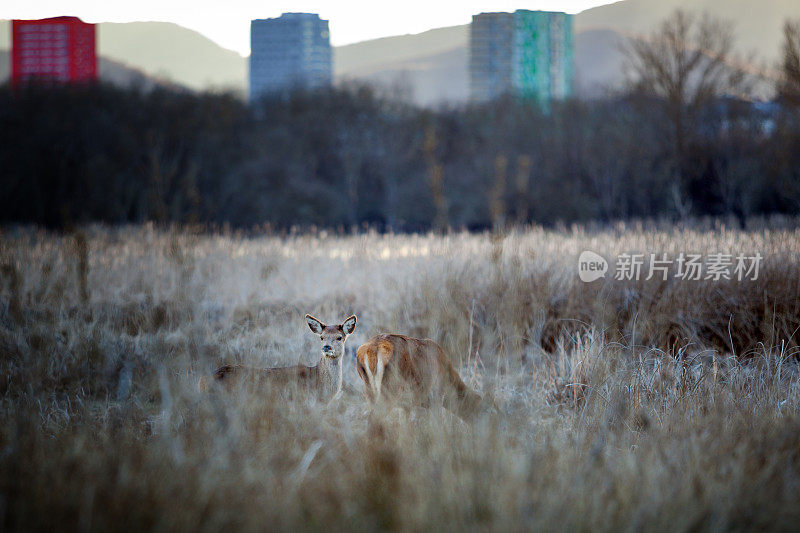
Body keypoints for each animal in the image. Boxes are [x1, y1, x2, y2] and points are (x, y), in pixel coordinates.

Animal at [356, 332, 488, 420]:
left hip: (369, 390)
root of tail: (371, 350)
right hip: (390, 389)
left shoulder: (407, 406)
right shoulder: (436, 396)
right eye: (480, 409)